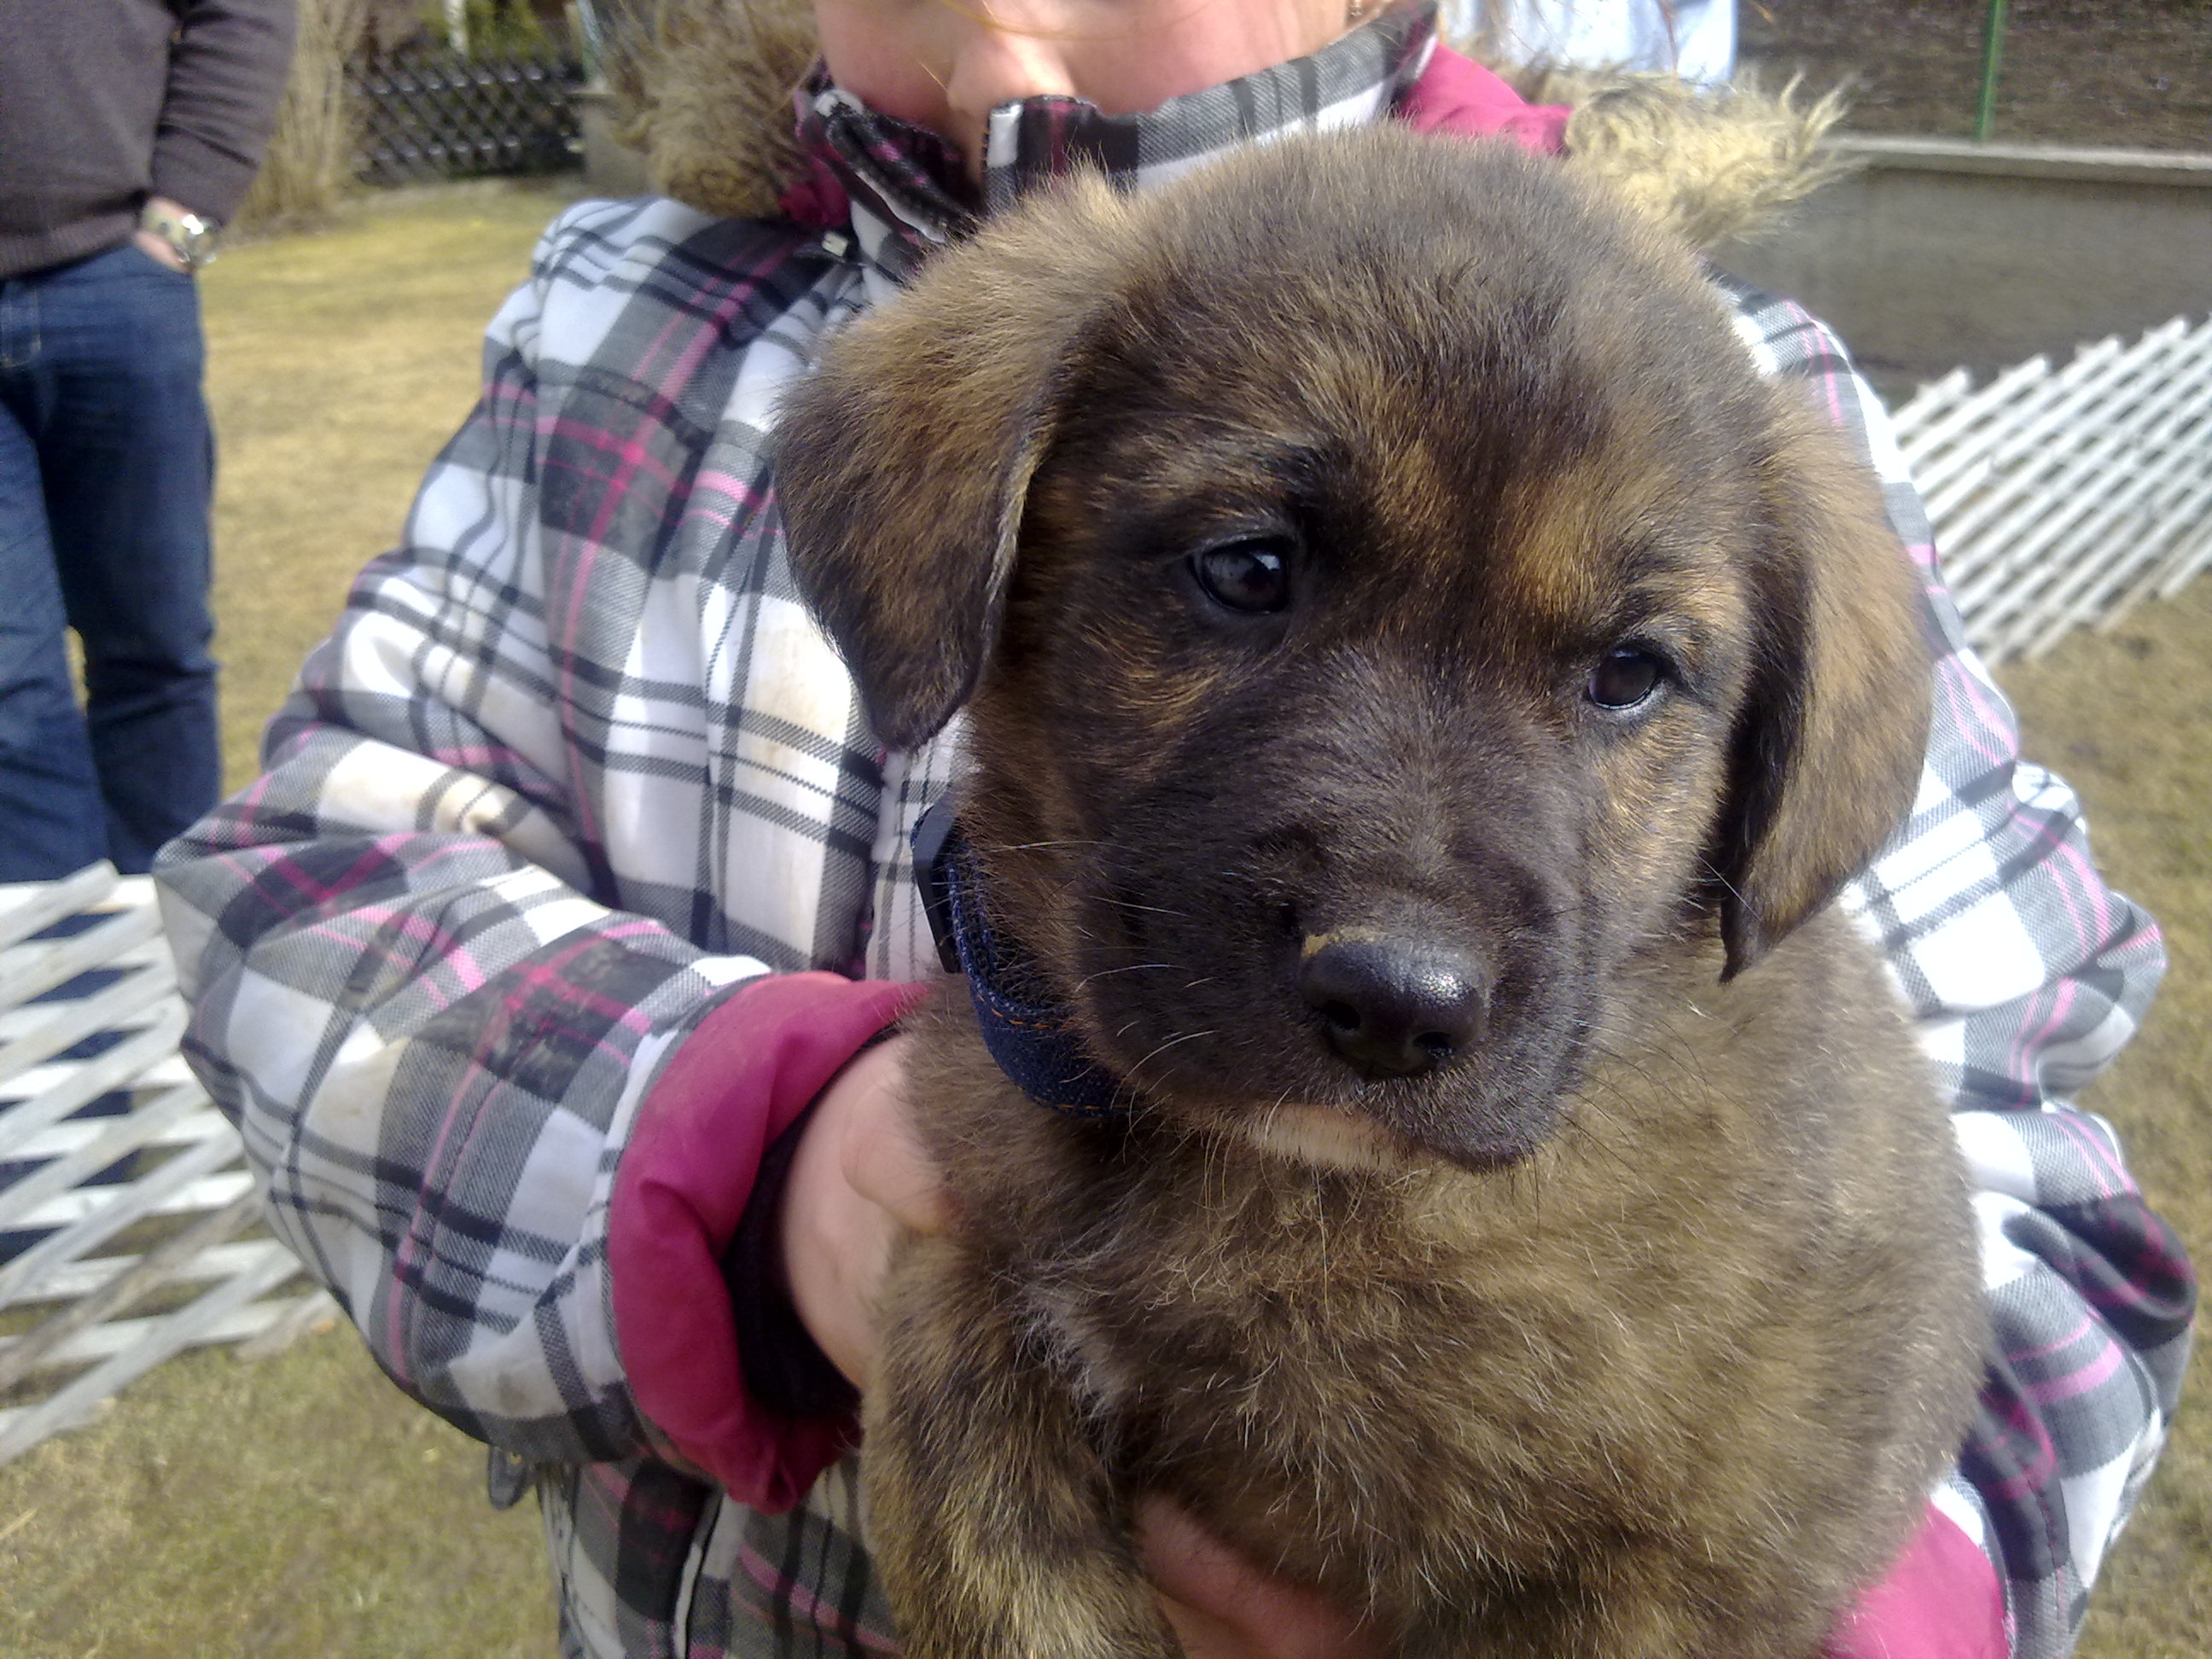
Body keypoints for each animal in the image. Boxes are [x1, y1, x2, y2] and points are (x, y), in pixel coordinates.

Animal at [778, 130, 1990, 1659]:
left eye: (1629, 671)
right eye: (1249, 567)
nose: (1397, 1004)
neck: (1291, 1188)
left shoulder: (1687, 1557)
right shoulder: (967, 1224)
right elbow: (963, 1475)